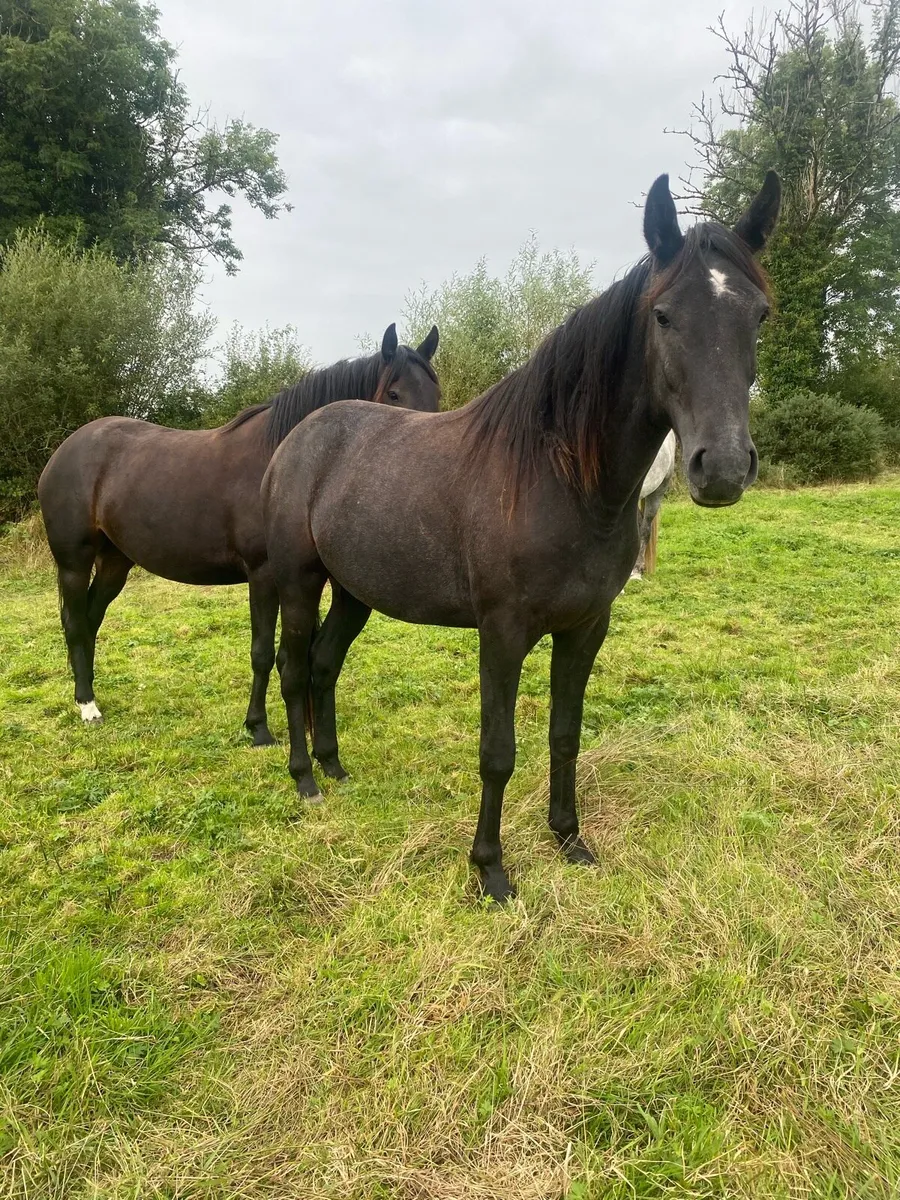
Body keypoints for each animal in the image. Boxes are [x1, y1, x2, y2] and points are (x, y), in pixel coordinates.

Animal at [38, 324, 441, 744]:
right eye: (394, 394)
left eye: (437, 393)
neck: (284, 463)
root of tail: (66, 449)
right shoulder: (263, 574)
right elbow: (263, 651)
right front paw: (258, 727)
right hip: (73, 562)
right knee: (75, 622)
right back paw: (87, 705)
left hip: (115, 562)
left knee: (90, 618)